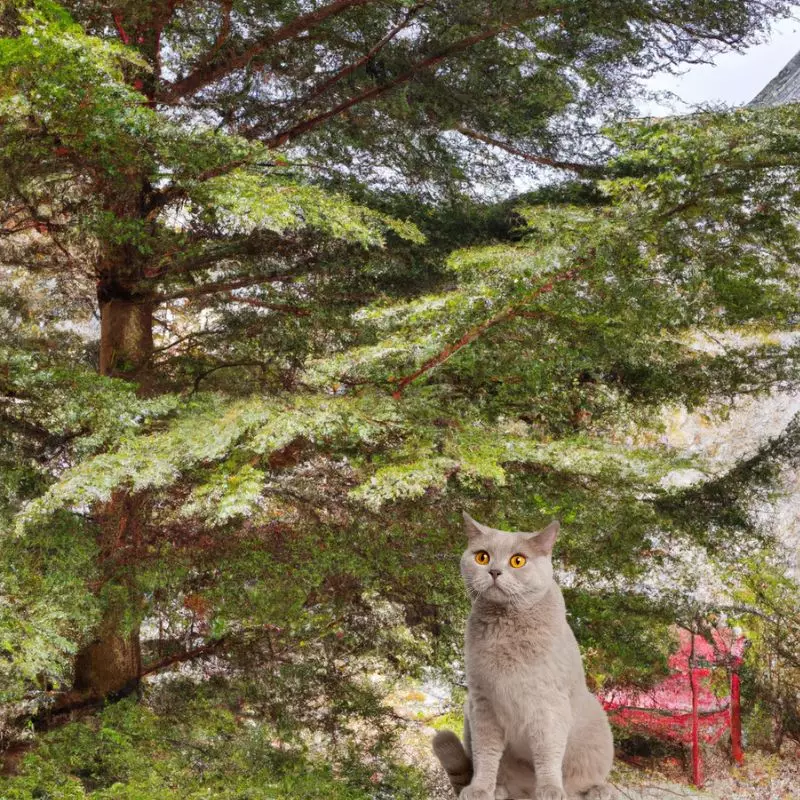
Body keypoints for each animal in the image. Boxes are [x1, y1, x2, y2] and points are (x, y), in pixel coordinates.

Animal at [432, 512, 612, 800]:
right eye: (482, 557)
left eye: (518, 560)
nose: (494, 571)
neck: (505, 626)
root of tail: (525, 793)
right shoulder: (483, 703)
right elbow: (486, 755)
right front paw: (481, 789)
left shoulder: (549, 705)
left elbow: (548, 753)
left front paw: (550, 790)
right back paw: (499, 790)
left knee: (581, 782)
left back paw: (598, 790)